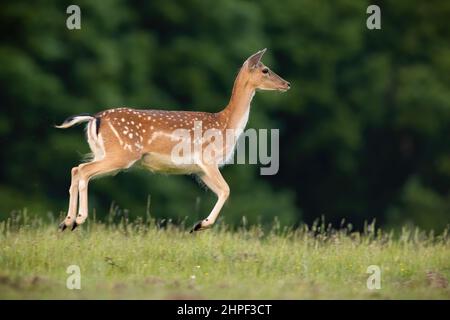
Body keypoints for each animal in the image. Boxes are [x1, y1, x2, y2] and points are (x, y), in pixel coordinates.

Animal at [56, 48, 290, 232]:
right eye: (265, 69)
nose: (287, 84)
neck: (226, 124)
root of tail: (95, 118)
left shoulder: (198, 170)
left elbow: (221, 191)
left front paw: (199, 224)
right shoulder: (208, 159)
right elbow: (226, 190)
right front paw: (200, 225)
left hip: (103, 152)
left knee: (76, 169)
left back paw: (66, 222)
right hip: (122, 153)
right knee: (83, 171)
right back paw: (78, 219)